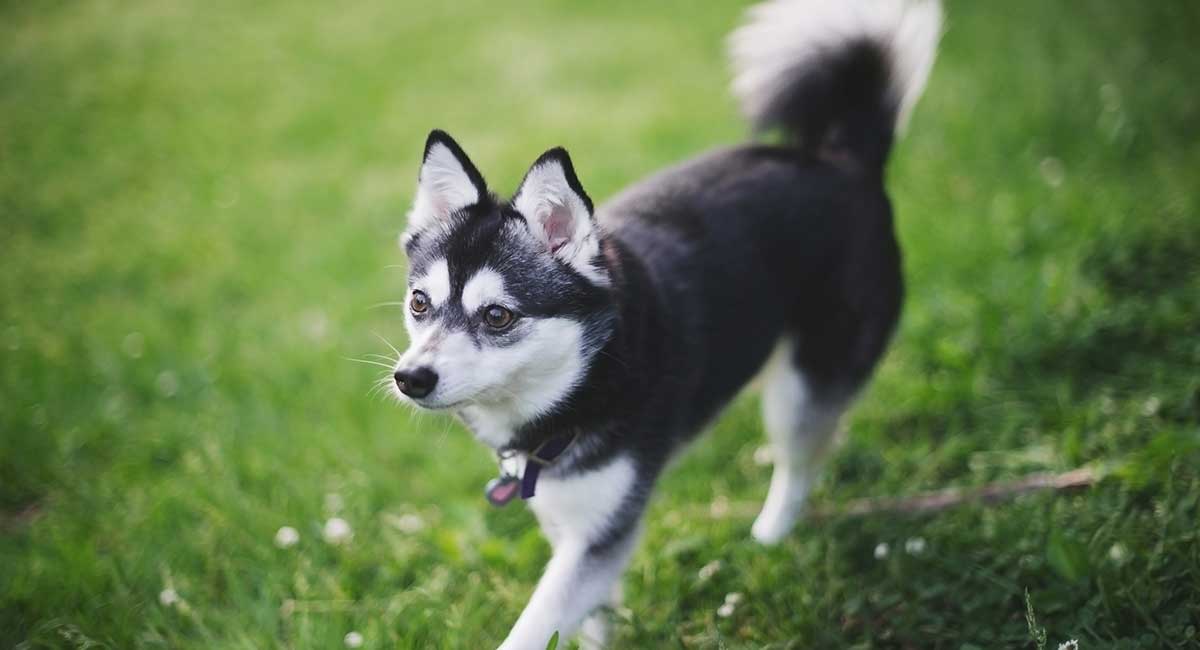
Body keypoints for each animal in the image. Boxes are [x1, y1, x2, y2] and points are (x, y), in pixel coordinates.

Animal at [384, 1, 936, 647]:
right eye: (420, 303)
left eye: (497, 315)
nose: (410, 378)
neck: (586, 376)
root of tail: (840, 159)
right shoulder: (573, 519)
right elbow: (590, 618)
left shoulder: (601, 530)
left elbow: (531, 628)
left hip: (803, 387)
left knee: (800, 464)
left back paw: (769, 539)